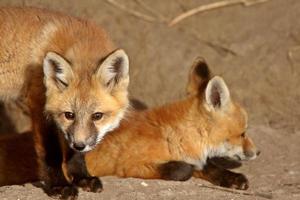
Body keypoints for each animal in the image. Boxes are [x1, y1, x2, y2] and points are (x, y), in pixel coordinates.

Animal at [0, 6, 129, 198]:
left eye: (97, 116)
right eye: (69, 115)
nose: (80, 145)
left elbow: (74, 153)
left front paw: (82, 177)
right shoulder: (39, 104)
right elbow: (51, 152)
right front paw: (59, 186)